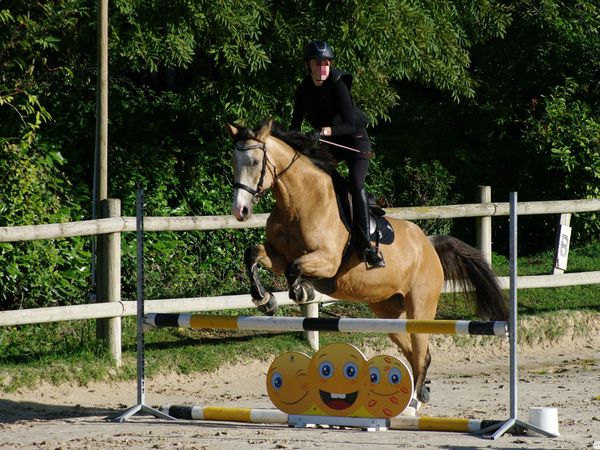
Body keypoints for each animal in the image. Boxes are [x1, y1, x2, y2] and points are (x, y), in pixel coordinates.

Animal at [227, 118, 508, 408]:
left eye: (255, 162)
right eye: (234, 162)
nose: (240, 211)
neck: (297, 202)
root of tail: (428, 245)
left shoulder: (327, 261)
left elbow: (295, 268)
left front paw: (301, 292)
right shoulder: (277, 256)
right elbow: (253, 254)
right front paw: (265, 299)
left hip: (421, 306)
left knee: (421, 352)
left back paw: (416, 401)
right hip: (388, 311)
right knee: (413, 350)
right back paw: (418, 395)